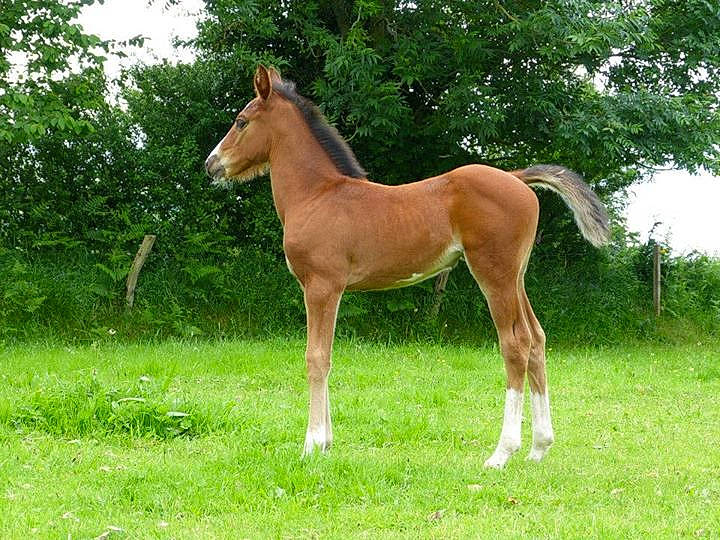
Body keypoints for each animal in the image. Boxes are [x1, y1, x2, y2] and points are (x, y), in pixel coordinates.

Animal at [205, 65, 609, 468]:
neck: (318, 195)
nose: (212, 164)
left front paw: (312, 444)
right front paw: (327, 442)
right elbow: (328, 356)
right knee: (537, 340)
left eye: (241, 121)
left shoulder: (321, 286)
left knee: (516, 344)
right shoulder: (330, 290)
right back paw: (539, 447)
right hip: (517, 277)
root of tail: (515, 177)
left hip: (494, 275)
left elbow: (316, 357)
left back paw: (501, 452)